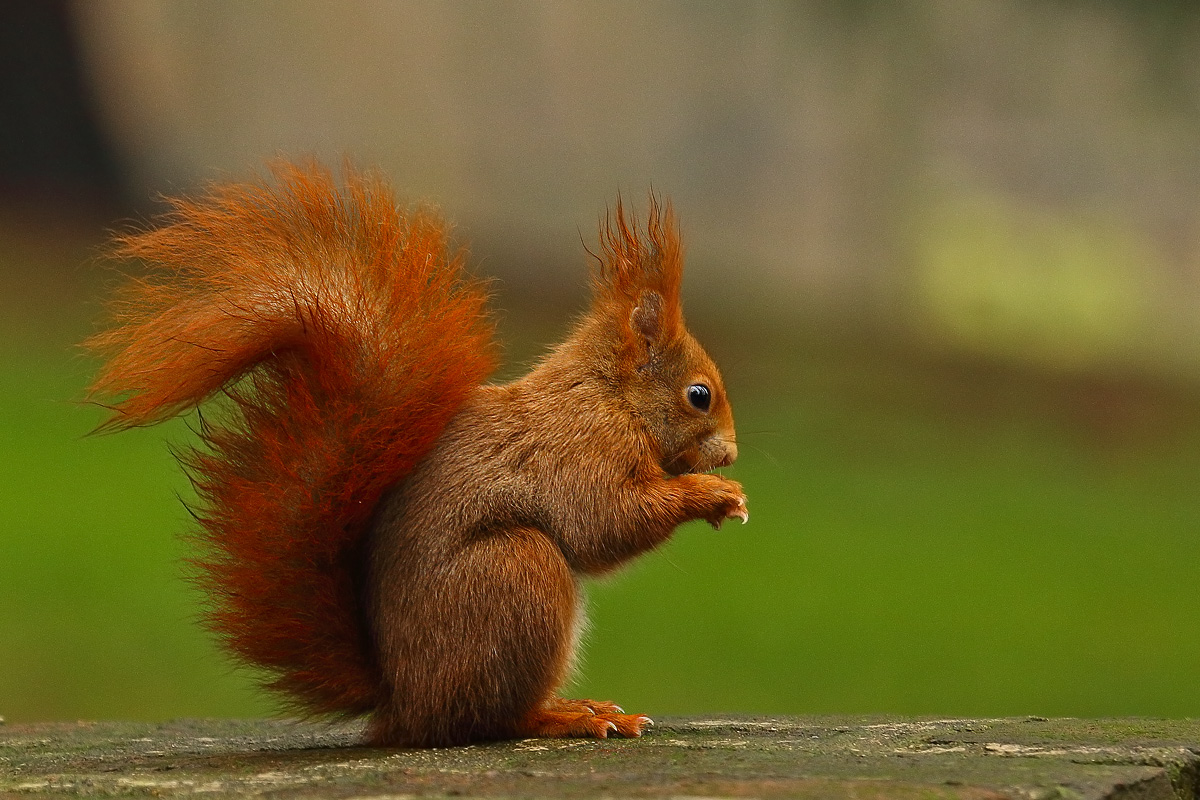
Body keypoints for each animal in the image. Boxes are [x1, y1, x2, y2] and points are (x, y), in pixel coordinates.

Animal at [87, 161, 747, 748]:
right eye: (699, 395)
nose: (733, 455)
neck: (611, 396)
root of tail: (402, 700)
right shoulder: (582, 449)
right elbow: (604, 523)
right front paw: (711, 496)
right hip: (516, 575)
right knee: (489, 718)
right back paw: (565, 717)